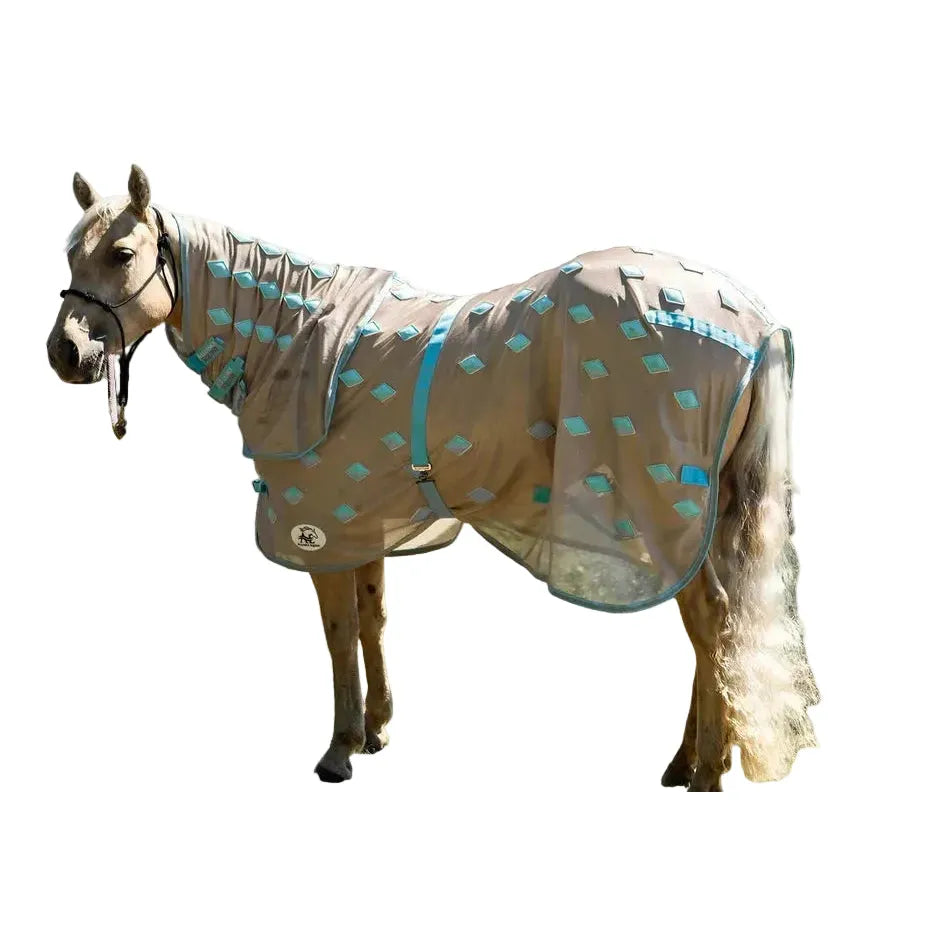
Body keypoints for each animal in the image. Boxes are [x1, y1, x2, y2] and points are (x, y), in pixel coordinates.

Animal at [47, 165, 819, 790]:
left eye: (122, 254)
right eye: (68, 253)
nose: (65, 353)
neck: (291, 339)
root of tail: (756, 325)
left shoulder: (318, 525)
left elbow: (337, 633)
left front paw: (339, 750)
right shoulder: (361, 523)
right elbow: (373, 618)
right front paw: (378, 730)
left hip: (662, 512)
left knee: (710, 622)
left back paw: (706, 772)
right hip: (703, 515)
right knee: (714, 631)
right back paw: (688, 762)